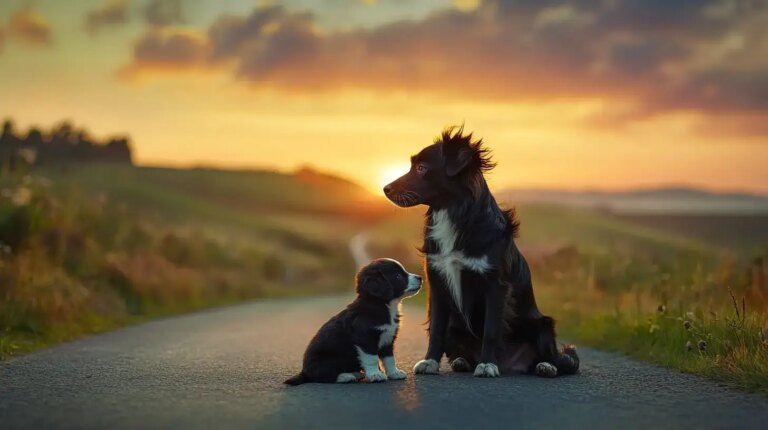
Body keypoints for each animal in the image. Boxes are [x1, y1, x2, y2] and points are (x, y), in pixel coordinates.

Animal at [284, 258, 424, 386]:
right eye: (397, 276)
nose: (421, 278)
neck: (381, 305)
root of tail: (304, 372)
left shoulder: (388, 338)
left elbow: (389, 358)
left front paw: (394, 373)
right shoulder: (365, 338)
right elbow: (372, 358)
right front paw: (375, 375)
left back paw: (357, 374)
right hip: (329, 360)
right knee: (324, 375)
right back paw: (346, 376)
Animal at [380, 126, 580, 378]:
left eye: (422, 168)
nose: (385, 189)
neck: (453, 212)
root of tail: (513, 364)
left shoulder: (495, 284)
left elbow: (491, 329)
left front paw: (487, 365)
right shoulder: (437, 282)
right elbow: (436, 328)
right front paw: (430, 362)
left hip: (542, 325)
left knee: (557, 358)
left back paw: (546, 366)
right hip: (455, 326)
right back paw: (462, 362)